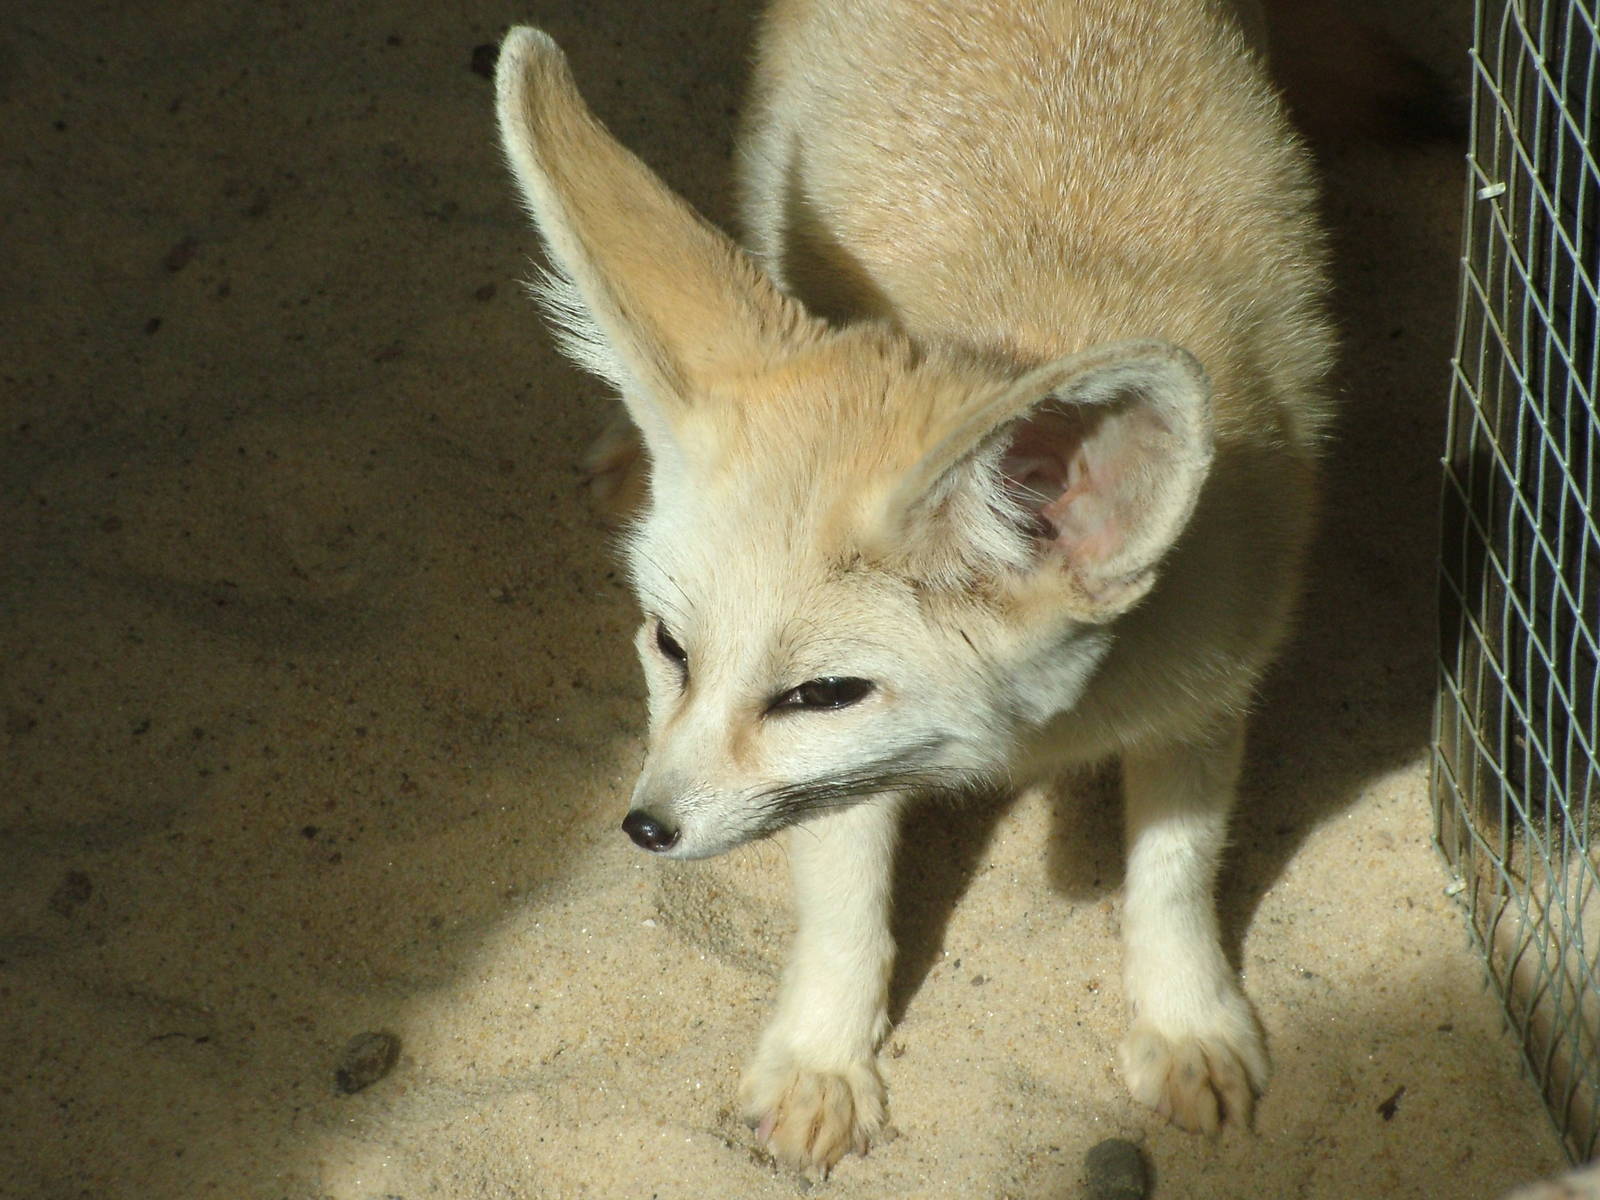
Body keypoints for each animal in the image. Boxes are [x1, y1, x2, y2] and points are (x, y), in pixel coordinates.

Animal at [493, 0, 1333, 1175]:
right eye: (669, 647)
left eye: (820, 695)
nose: (645, 829)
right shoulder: (843, 782)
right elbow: (845, 904)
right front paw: (822, 1054)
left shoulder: (1211, 682)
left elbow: (1174, 874)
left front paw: (1185, 1020)